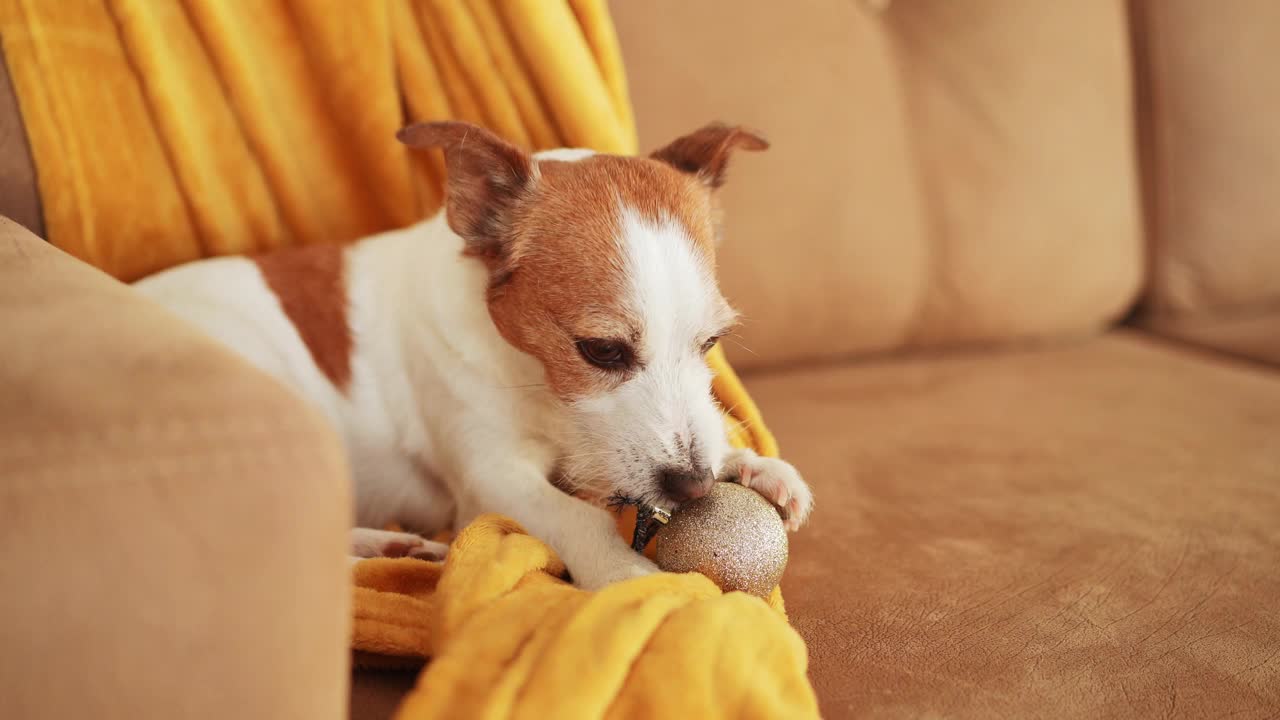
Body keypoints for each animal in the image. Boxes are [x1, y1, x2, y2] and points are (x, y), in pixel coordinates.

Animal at [135, 119, 814, 589]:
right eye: (600, 350)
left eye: (711, 343)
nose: (695, 488)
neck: (538, 386)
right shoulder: (491, 476)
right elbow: (577, 517)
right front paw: (622, 571)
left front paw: (753, 464)